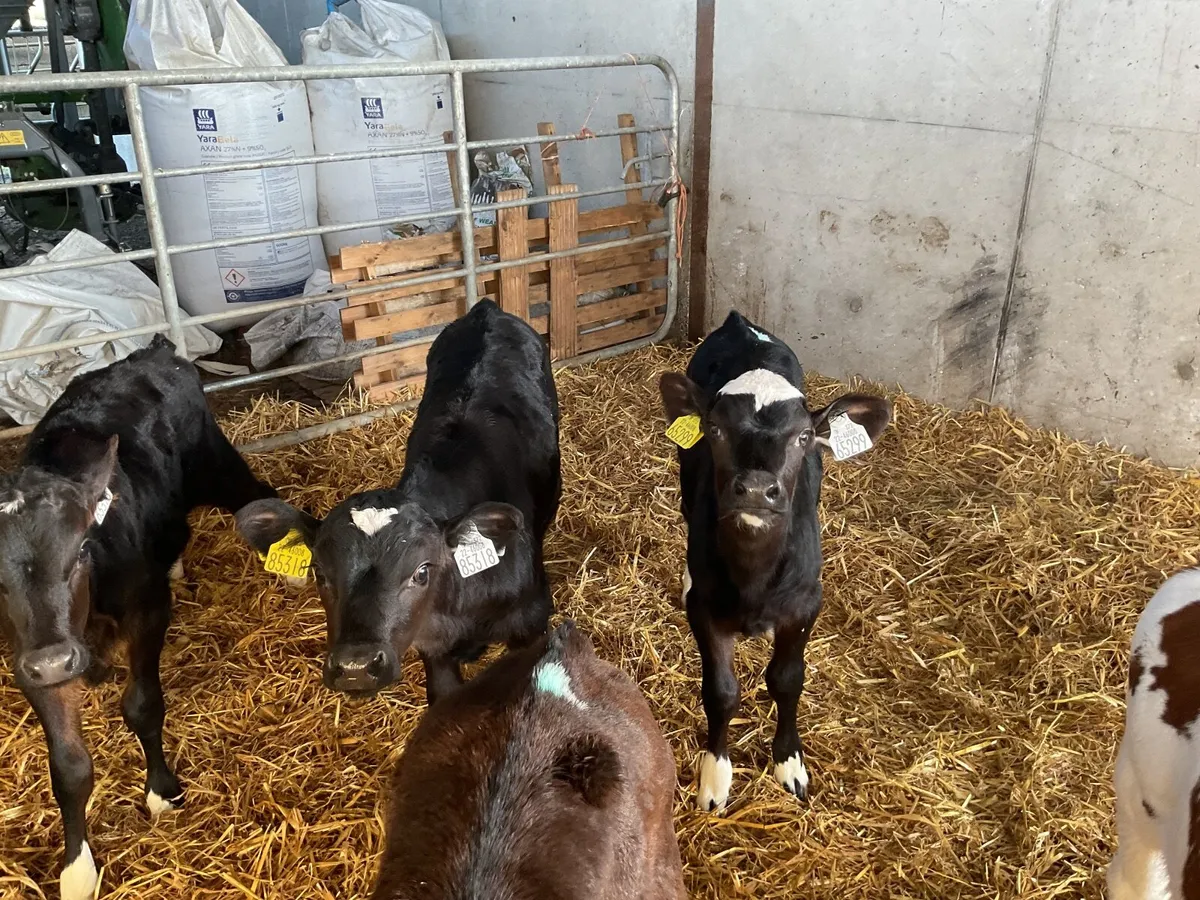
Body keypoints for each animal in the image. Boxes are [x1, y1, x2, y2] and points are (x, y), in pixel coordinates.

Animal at [0, 335, 277, 900]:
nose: (58, 659)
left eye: (81, 549)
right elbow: (68, 765)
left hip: (218, 466)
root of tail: (151, 352)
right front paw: (77, 868)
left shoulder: (147, 611)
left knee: (261, 495)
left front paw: (162, 791)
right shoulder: (30, 661)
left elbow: (143, 706)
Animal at [234, 299, 561, 703]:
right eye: (319, 572)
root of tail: (486, 308)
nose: (356, 667)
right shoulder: (434, 650)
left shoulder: (532, 622)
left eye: (422, 571)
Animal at [658, 310, 891, 811]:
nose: (755, 488)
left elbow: (786, 680)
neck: (754, 577)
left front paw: (788, 761)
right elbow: (721, 692)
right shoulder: (706, 609)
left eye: (804, 437)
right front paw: (715, 777)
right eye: (714, 429)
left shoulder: (805, 603)